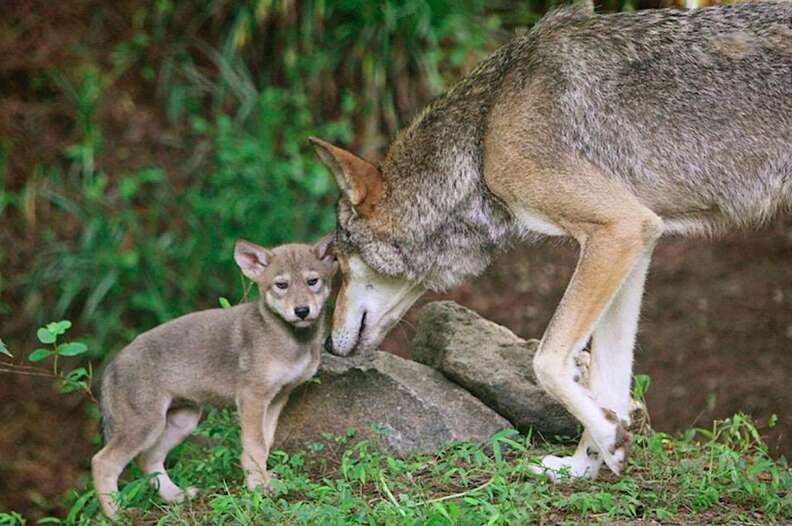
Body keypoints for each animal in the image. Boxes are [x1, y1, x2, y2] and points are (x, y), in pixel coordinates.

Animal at [91, 236, 336, 517]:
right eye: (281, 285)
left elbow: (265, 444)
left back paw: (176, 496)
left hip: (182, 420)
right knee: (103, 461)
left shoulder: (277, 398)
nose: (302, 310)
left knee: (148, 459)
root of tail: (113, 363)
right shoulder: (252, 397)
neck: (291, 339)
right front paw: (257, 487)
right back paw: (116, 514)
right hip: (144, 425)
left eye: (312, 281)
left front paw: (266, 482)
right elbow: (254, 446)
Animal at [309, 1, 792, 482]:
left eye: (340, 264)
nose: (329, 345)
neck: (484, 132)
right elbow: (607, 382)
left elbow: (545, 362)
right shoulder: (638, 241)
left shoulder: (618, 228)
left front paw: (610, 442)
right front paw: (587, 463)